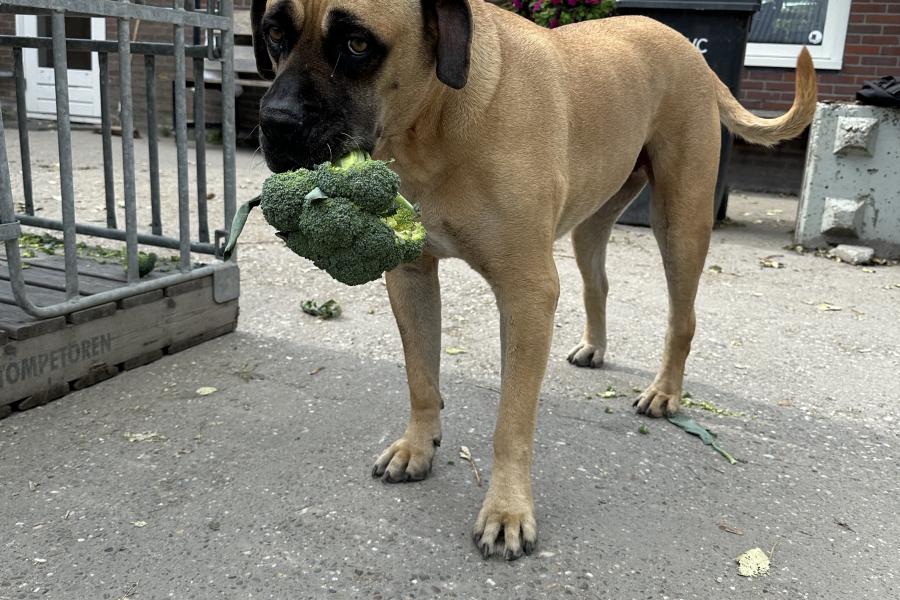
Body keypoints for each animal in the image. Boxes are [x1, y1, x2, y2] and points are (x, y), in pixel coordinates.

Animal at [248, 0, 816, 556]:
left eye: (357, 44)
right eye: (274, 33)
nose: (274, 121)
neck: (436, 120)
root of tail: (685, 45)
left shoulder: (526, 294)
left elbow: (512, 422)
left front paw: (507, 511)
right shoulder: (410, 274)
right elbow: (420, 376)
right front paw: (417, 445)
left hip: (680, 221)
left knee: (683, 317)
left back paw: (665, 392)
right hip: (593, 221)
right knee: (598, 283)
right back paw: (594, 346)